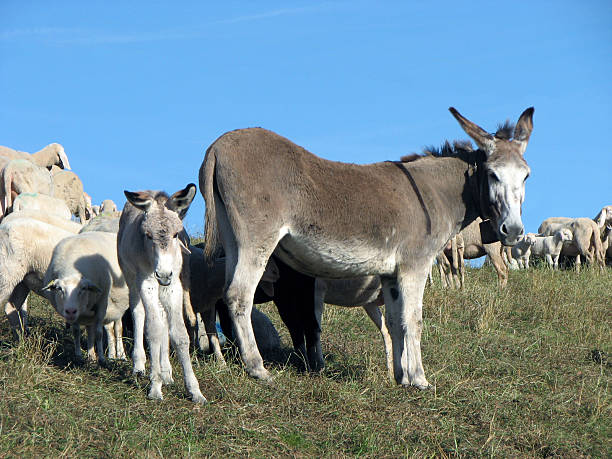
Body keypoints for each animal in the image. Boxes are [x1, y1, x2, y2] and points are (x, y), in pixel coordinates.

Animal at [42, 232, 131, 364]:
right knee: (103, 329)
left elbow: (99, 333)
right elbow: (76, 331)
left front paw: (102, 359)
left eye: (83, 288)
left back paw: (120, 355)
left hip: (116, 306)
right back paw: (99, 356)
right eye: (59, 289)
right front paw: (79, 356)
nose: (70, 310)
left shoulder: (102, 304)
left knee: (117, 328)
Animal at [117, 185, 206, 404]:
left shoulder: (174, 286)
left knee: (164, 319)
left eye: (176, 235)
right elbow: (154, 330)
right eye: (148, 235)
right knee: (139, 314)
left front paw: (194, 390)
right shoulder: (147, 282)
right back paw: (140, 366)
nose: (163, 274)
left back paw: (166, 372)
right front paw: (155, 387)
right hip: (132, 280)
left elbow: (180, 334)